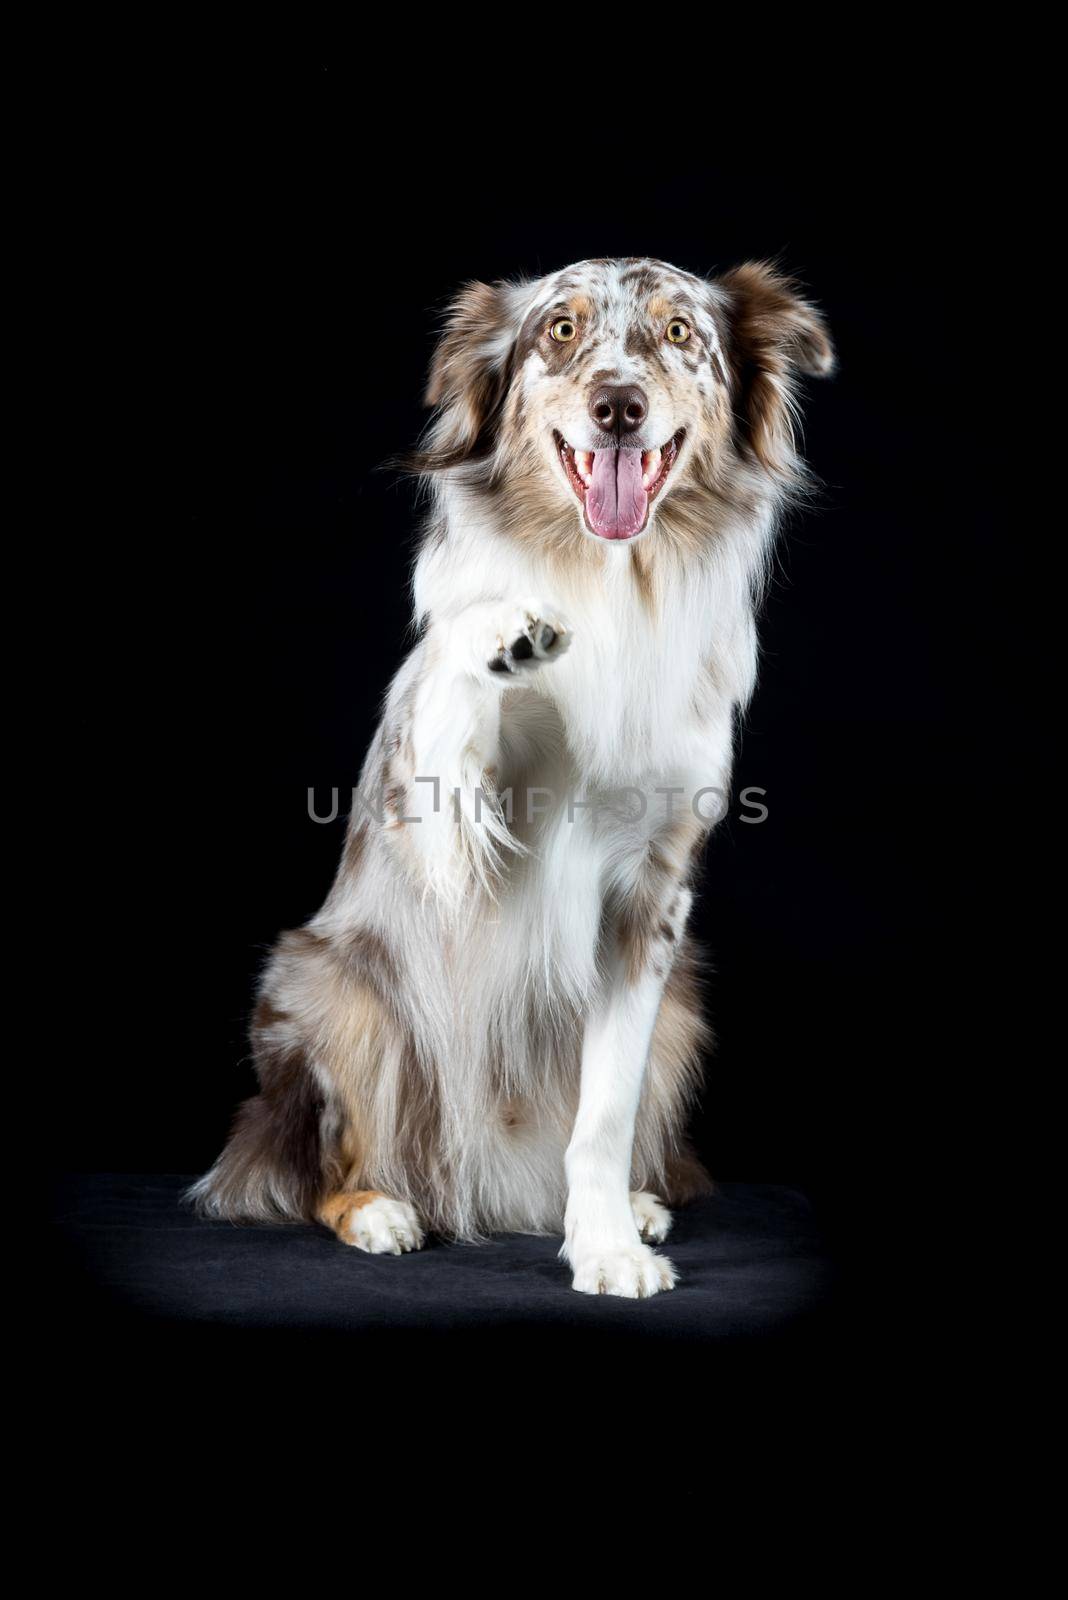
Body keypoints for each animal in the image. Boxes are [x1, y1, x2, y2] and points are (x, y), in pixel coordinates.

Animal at [191, 256, 831, 1292]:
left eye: (681, 333)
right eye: (560, 330)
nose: (619, 407)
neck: (612, 581)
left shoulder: (651, 902)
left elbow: (604, 1114)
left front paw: (604, 1243)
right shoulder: (448, 818)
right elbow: (459, 659)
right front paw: (505, 627)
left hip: (682, 1010)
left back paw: (623, 1204)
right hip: (331, 989)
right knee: (309, 1165)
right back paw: (379, 1209)